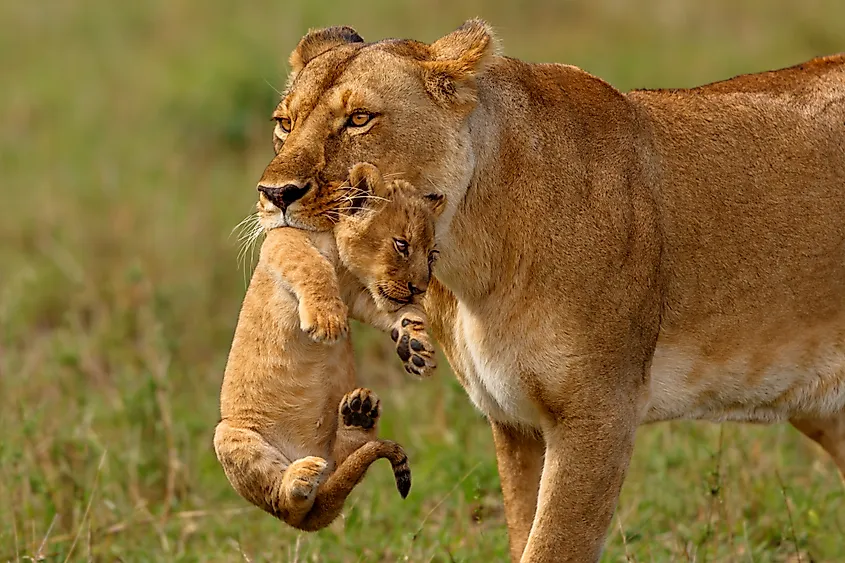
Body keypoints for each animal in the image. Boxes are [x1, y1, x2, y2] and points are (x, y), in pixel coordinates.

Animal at [213, 163, 444, 531]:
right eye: (401, 245)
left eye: (432, 255)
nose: (419, 288)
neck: (340, 259)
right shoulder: (282, 240)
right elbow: (310, 265)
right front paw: (327, 321)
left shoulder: (358, 296)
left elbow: (398, 313)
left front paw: (415, 347)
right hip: (229, 436)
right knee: (286, 504)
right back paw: (300, 478)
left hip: (335, 460)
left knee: (342, 463)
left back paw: (358, 414)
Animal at [251, 20, 845, 562]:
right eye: (284, 123)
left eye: (360, 119)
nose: (275, 194)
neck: (472, 257)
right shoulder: (516, 423)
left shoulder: (599, 412)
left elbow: (553, 544)